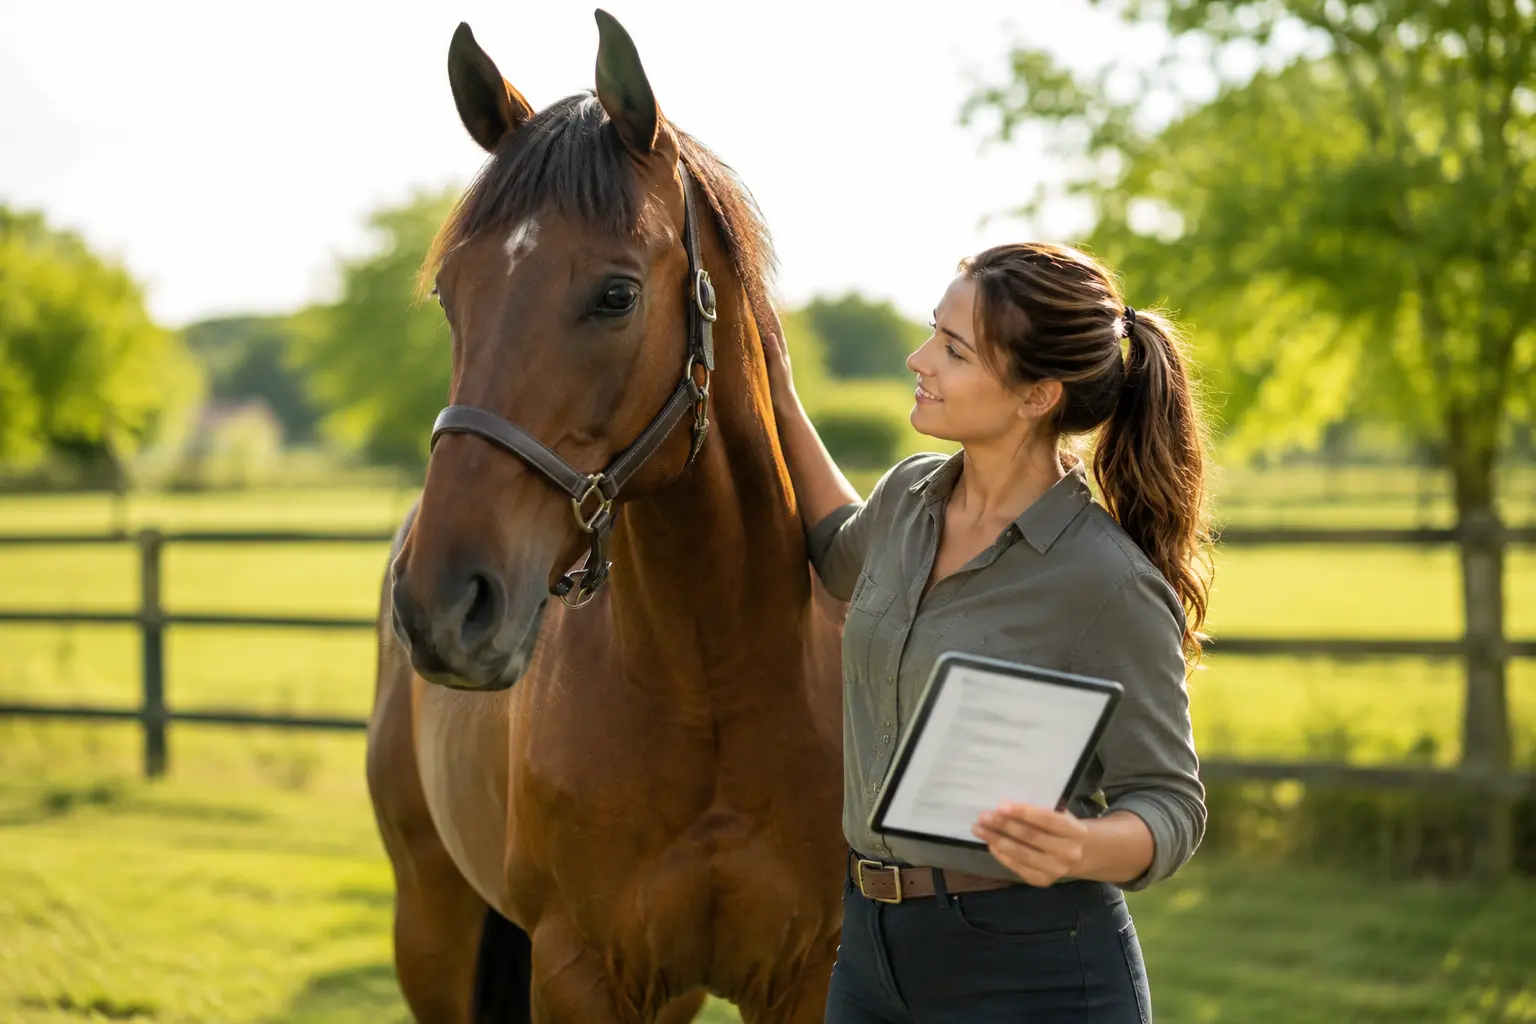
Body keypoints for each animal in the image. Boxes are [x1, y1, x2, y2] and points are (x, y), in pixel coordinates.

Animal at [365, 12, 847, 1023]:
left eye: (615, 293)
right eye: (450, 293)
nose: (441, 604)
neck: (715, 679)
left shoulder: (811, 975)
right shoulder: (578, 969)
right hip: (428, 922)